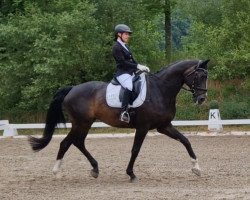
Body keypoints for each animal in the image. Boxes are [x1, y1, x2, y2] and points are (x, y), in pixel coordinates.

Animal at [28, 59, 209, 181]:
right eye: (198, 76)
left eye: (205, 76)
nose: (201, 99)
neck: (160, 89)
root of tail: (72, 89)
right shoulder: (143, 127)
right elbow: (135, 149)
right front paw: (131, 174)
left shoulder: (164, 126)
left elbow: (185, 141)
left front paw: (197, 168)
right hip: (81, 123)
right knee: (66, 143)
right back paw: (57, 171)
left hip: (85, 123)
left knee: (78, 142)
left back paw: (95, 169)